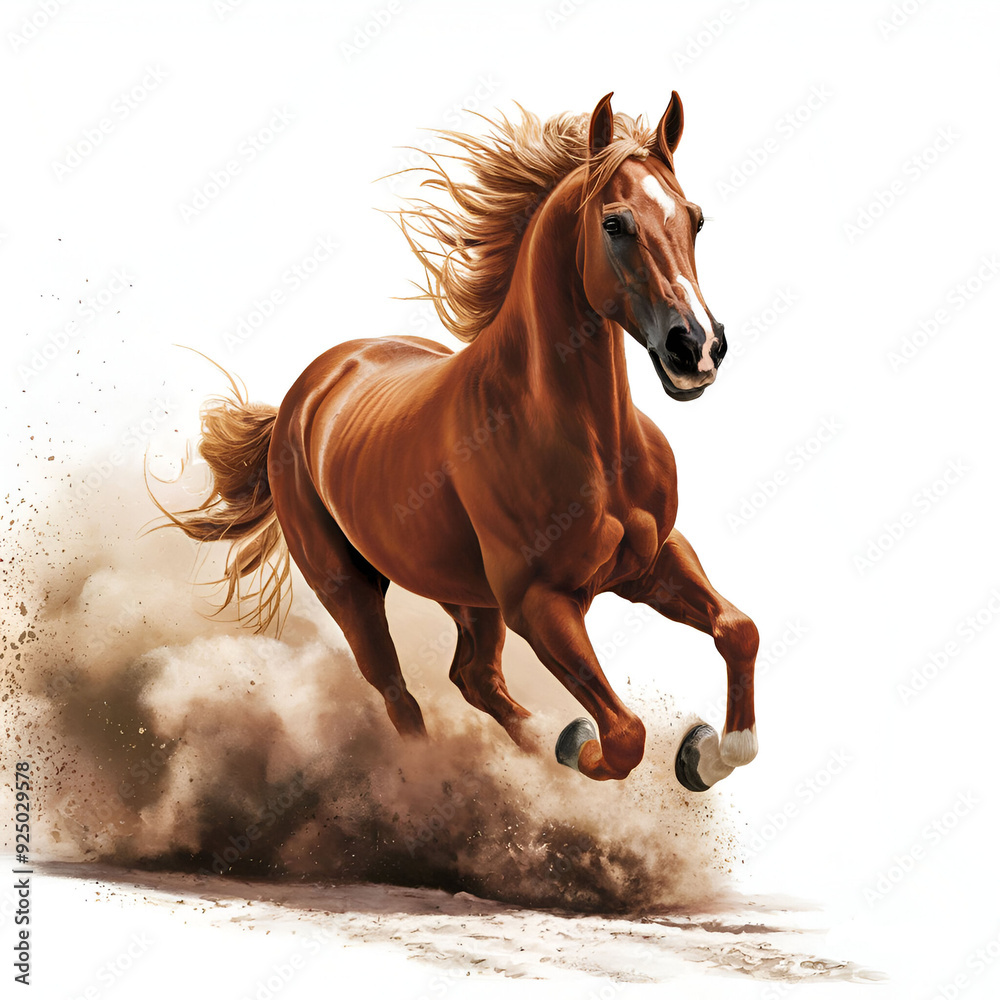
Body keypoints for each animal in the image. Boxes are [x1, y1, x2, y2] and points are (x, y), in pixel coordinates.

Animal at [158, 92, 759, 791]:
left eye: (695, 219)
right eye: (615, 223)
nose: (697, 347)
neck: (593, 445)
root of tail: (303, 395)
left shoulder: (654, 561)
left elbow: (738, 631)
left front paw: (704, 754)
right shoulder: (540, 604)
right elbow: (623, 736)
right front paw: (580, 743)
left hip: (460, 589)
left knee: (473, 676)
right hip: (349, 588)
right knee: (400, 695)